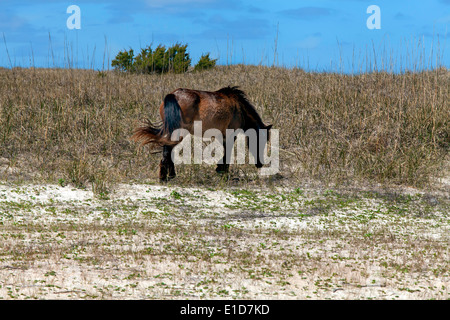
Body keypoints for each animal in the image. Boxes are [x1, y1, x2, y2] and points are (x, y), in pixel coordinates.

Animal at [130, 85, 270, 180]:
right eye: (261, 141)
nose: (260, 164)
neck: (239, 107)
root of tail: (173, 95)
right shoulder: (230, 135)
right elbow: (227, 153)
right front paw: (223, 172)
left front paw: (220, 169)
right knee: (168, 151)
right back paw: (166, 177)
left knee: (167, 151)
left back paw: (169, 176)